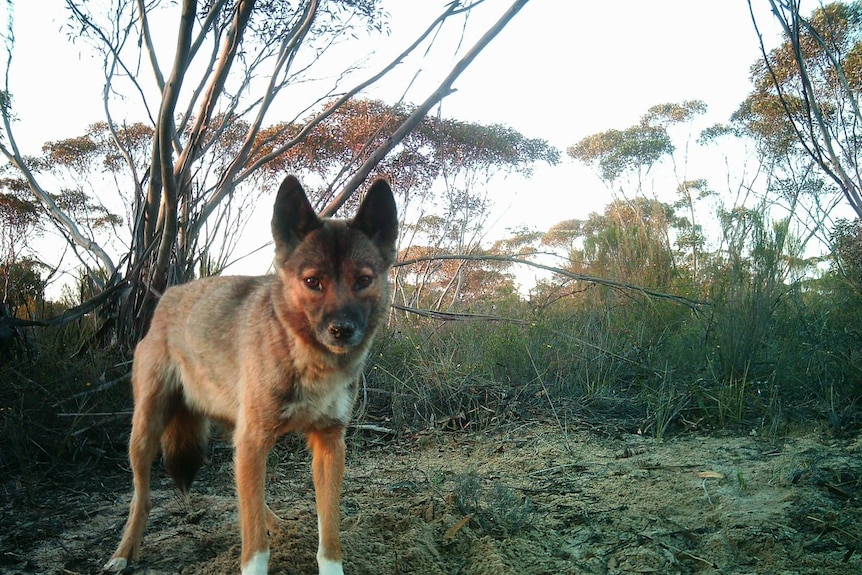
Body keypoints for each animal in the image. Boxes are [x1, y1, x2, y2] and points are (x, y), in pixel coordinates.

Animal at [104, 176, 398, 575]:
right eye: (313, 282)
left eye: (363, 280)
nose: (342, 330)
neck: (306, 359)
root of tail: (169, 295)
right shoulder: (255, 440)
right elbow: (255, 548)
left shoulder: (329, 445)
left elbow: (329, 536)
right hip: (148, 431)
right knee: (142, 497)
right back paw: (122, 554)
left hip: (235, 433)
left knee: (246, 495)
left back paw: (275, 522)